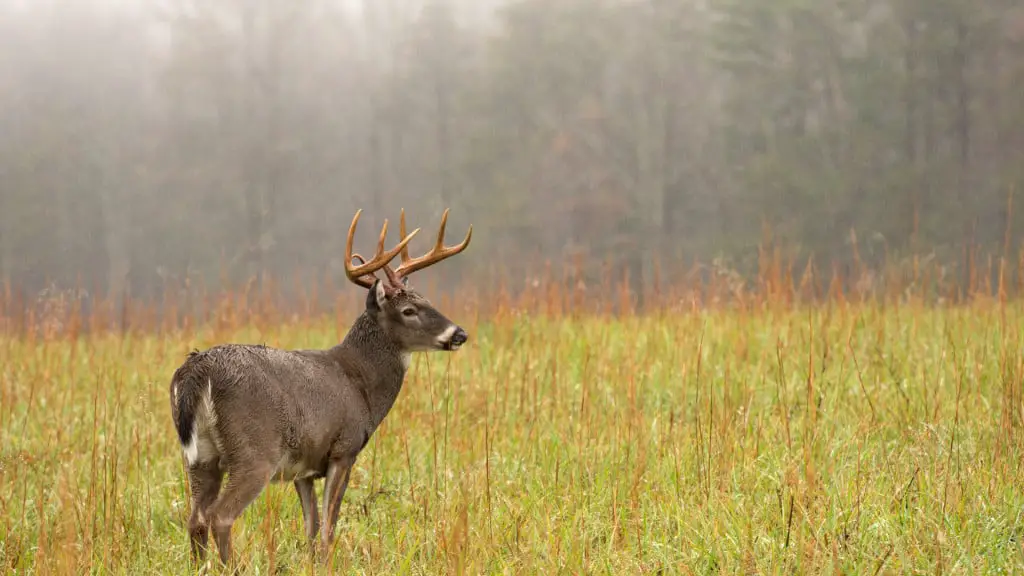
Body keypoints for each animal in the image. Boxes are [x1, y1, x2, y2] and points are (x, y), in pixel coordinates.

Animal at [168, 206, 471, 565]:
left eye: (426, 299)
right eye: (409, 310)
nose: (459, 334)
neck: (361, 383)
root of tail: (198, 369)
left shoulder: (306, 469)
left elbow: (311, 529)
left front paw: (312, 563)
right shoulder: (344, 449)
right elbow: (328, 527)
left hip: (200, 457)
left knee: (196, 519)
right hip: (255, 451)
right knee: (220, 516)